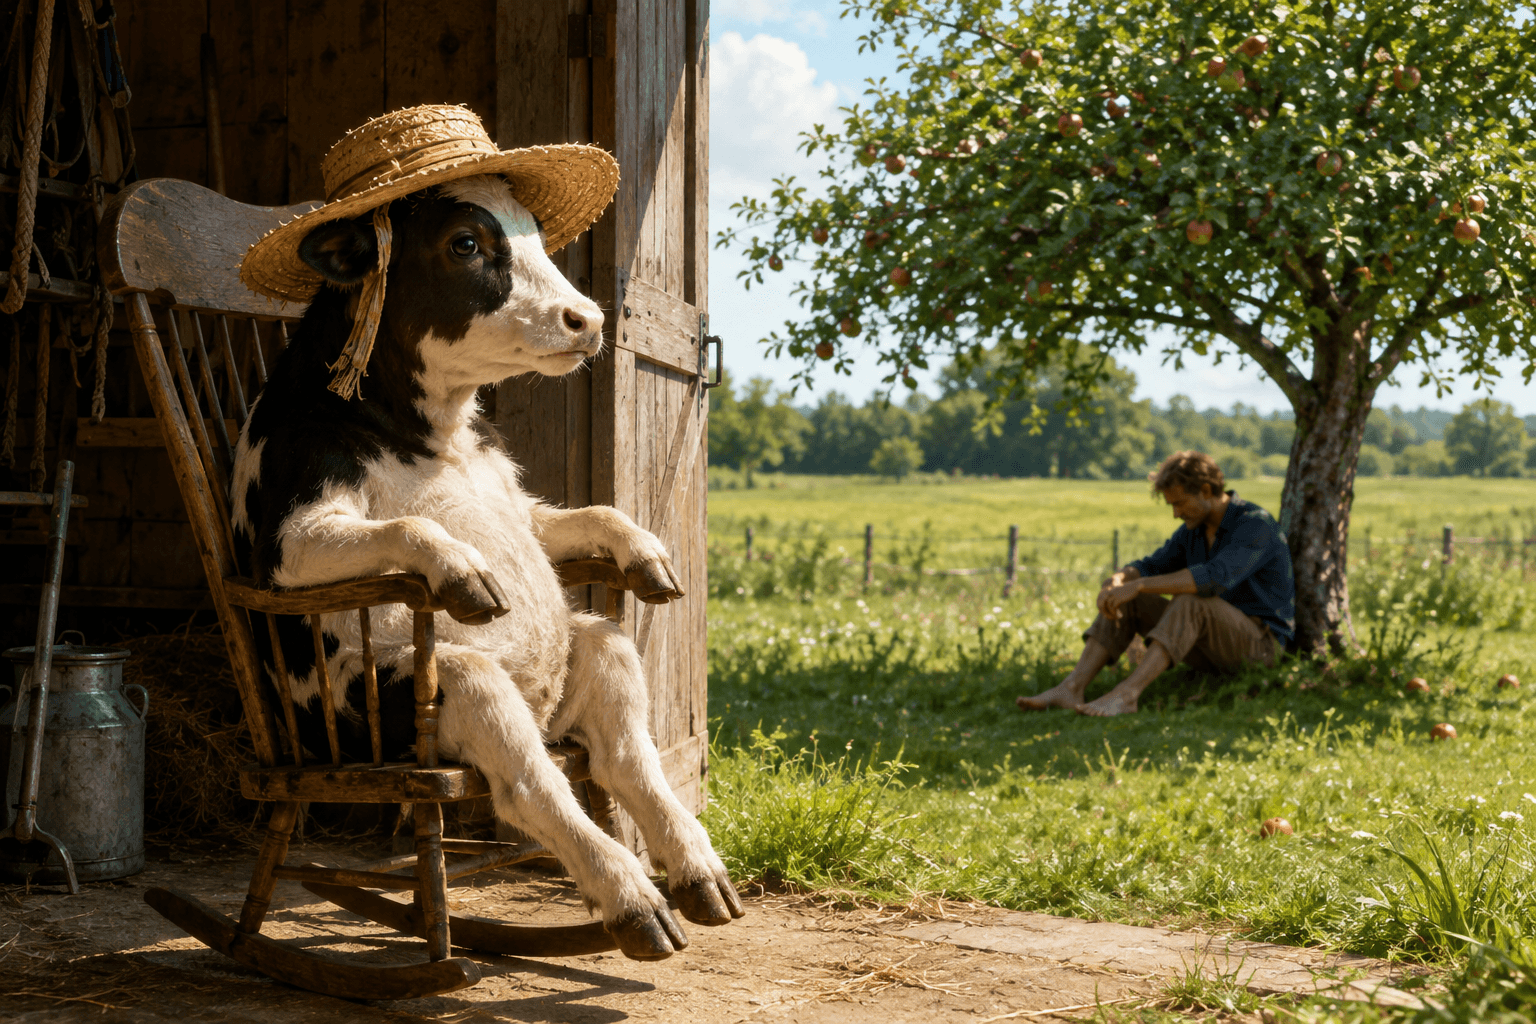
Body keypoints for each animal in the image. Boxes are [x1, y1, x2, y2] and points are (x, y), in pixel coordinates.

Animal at [230, 173, 742, 961]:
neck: (435, 432)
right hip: (435, 692)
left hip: (594, 649)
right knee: (534, 784)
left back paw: (701, 875)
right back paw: (636, 906)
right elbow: (412, 526)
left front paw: (646, 551)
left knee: (626, 755)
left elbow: (584, 514)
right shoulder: (288, 538)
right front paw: (465, 569)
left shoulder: (520, 506)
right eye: (465, 243)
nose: (587, 319)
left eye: (538, 232)